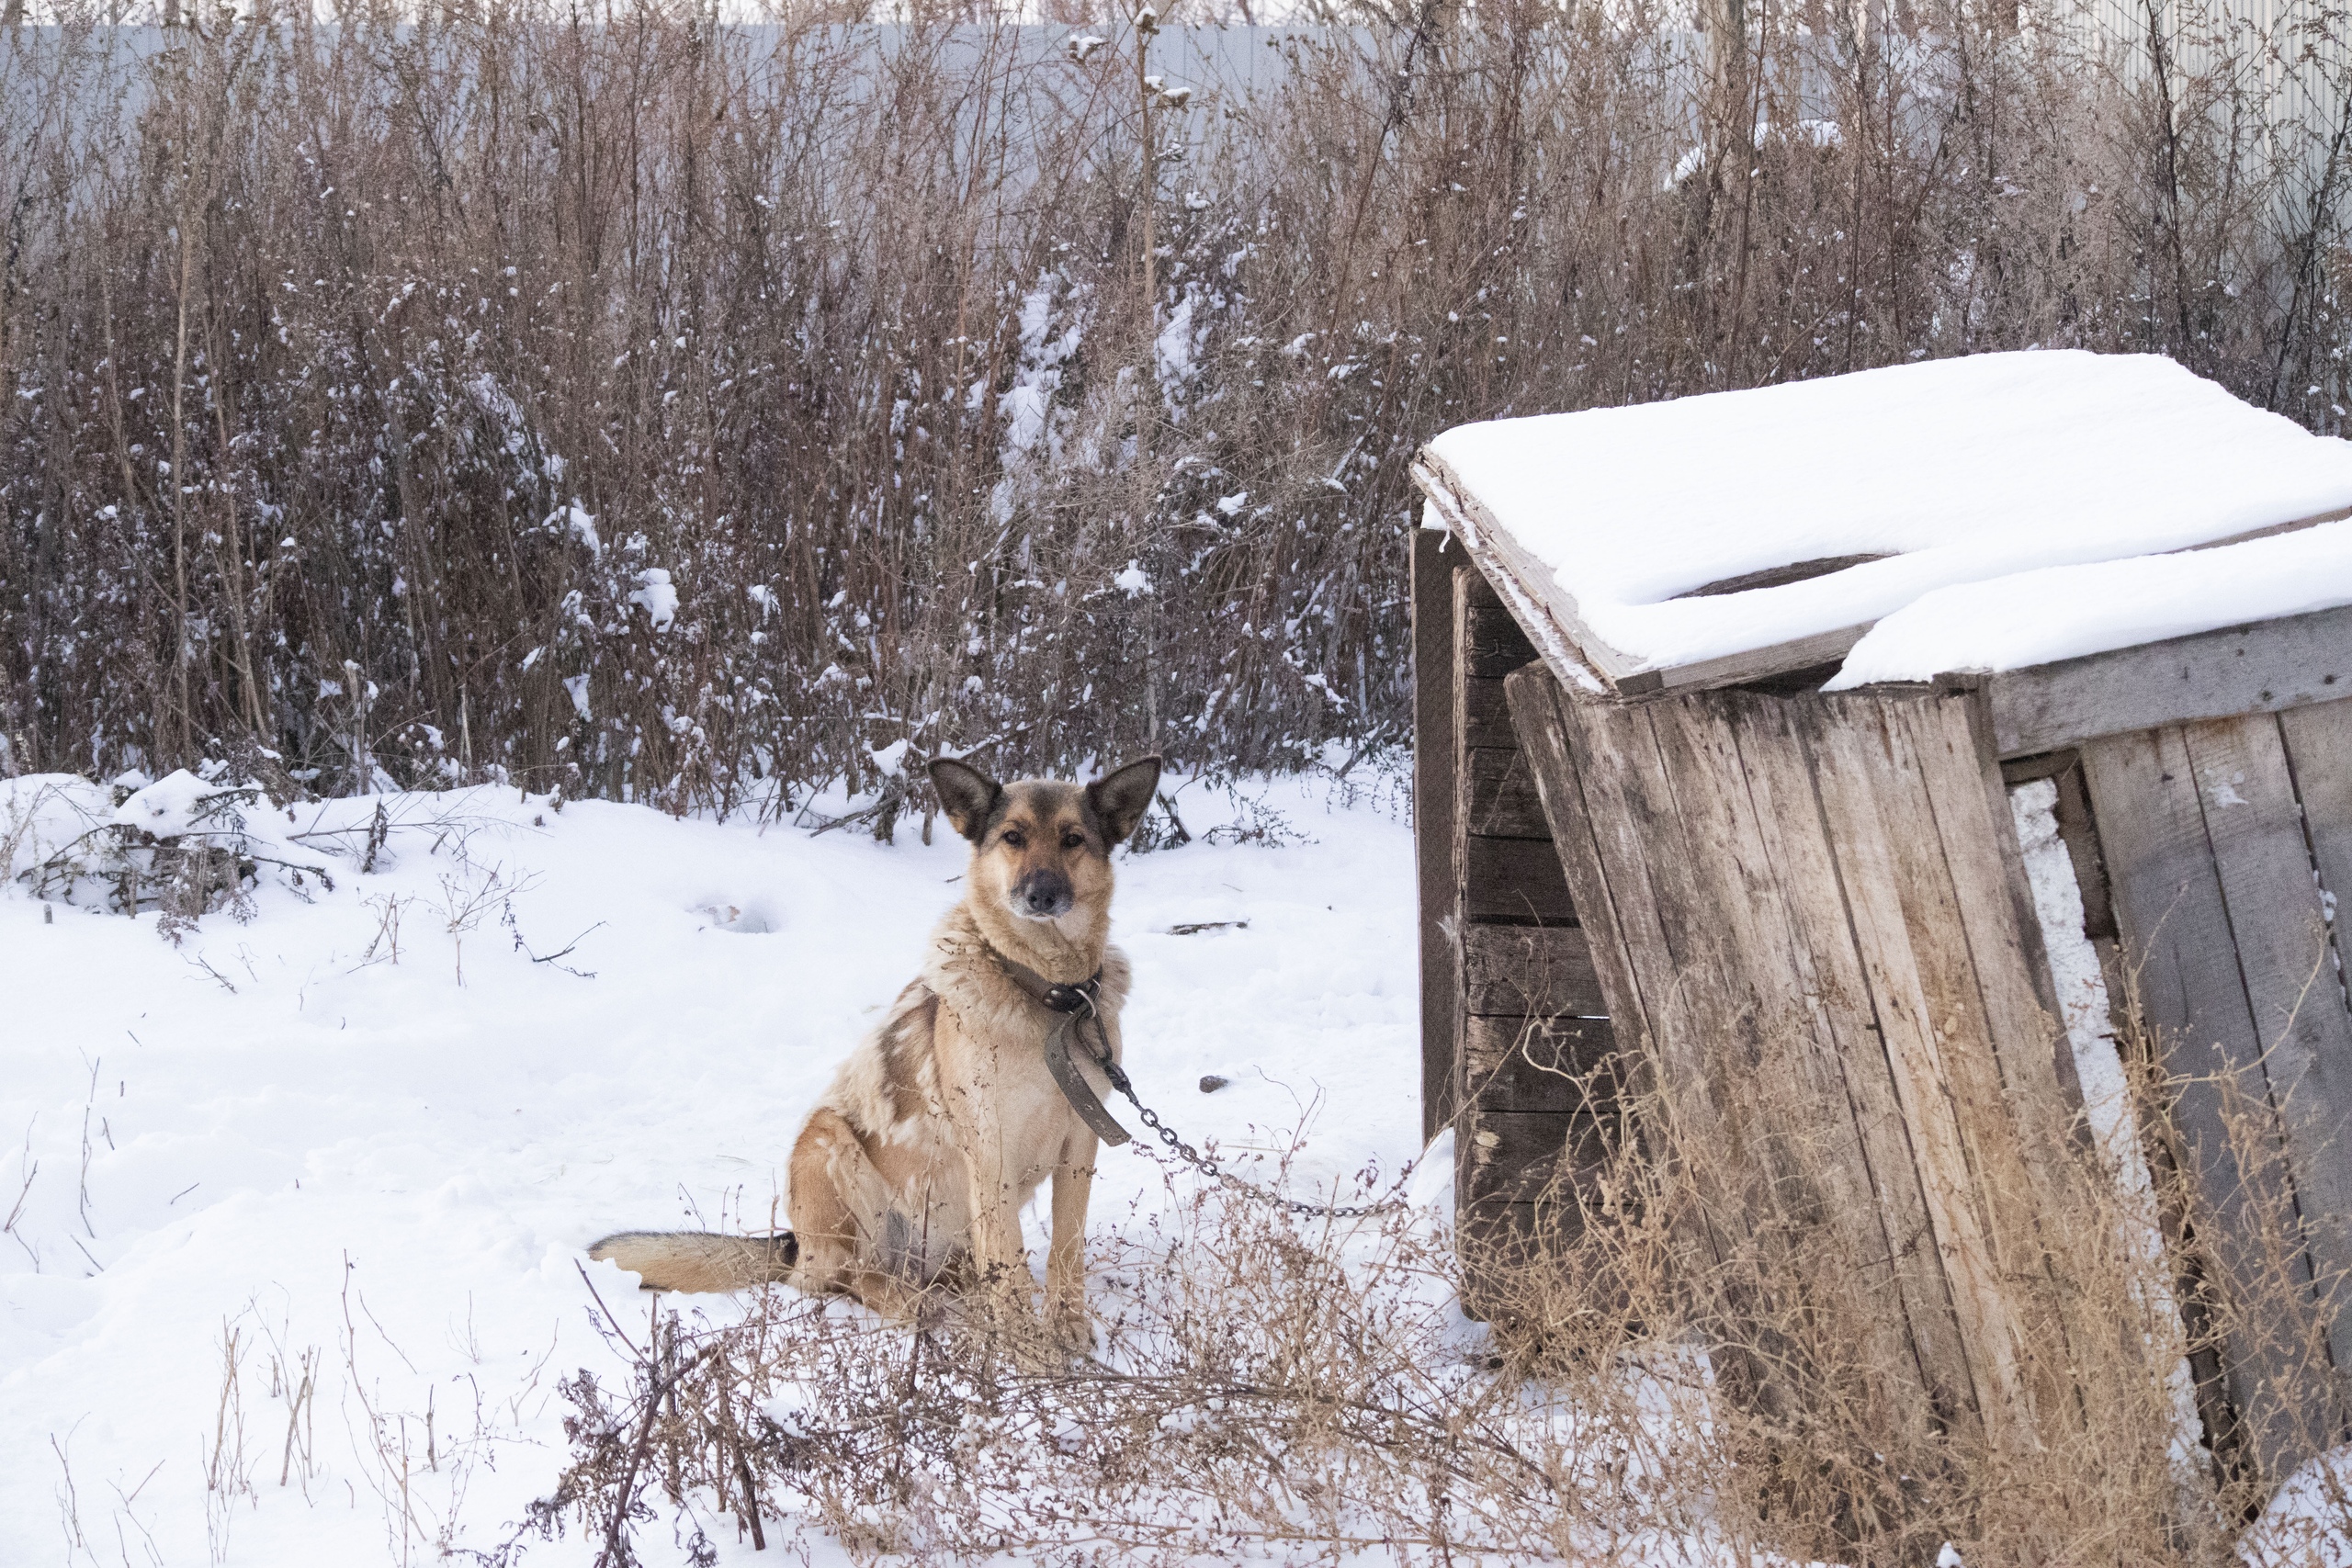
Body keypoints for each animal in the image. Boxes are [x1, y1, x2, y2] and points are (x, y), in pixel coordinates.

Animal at [593, 751, 1161, 1344]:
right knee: (853, 1276)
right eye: (1013, 837)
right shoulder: (990, 1150)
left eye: (1073, 839)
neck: (1046, 996)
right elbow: (1008, 1264)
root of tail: (796, 1246)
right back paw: (914, 1304)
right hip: (829, 1145)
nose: (1041, 895)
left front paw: (1067, 1328)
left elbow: (1064, 1252)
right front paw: (1026, 1346)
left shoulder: (1079, 1149)